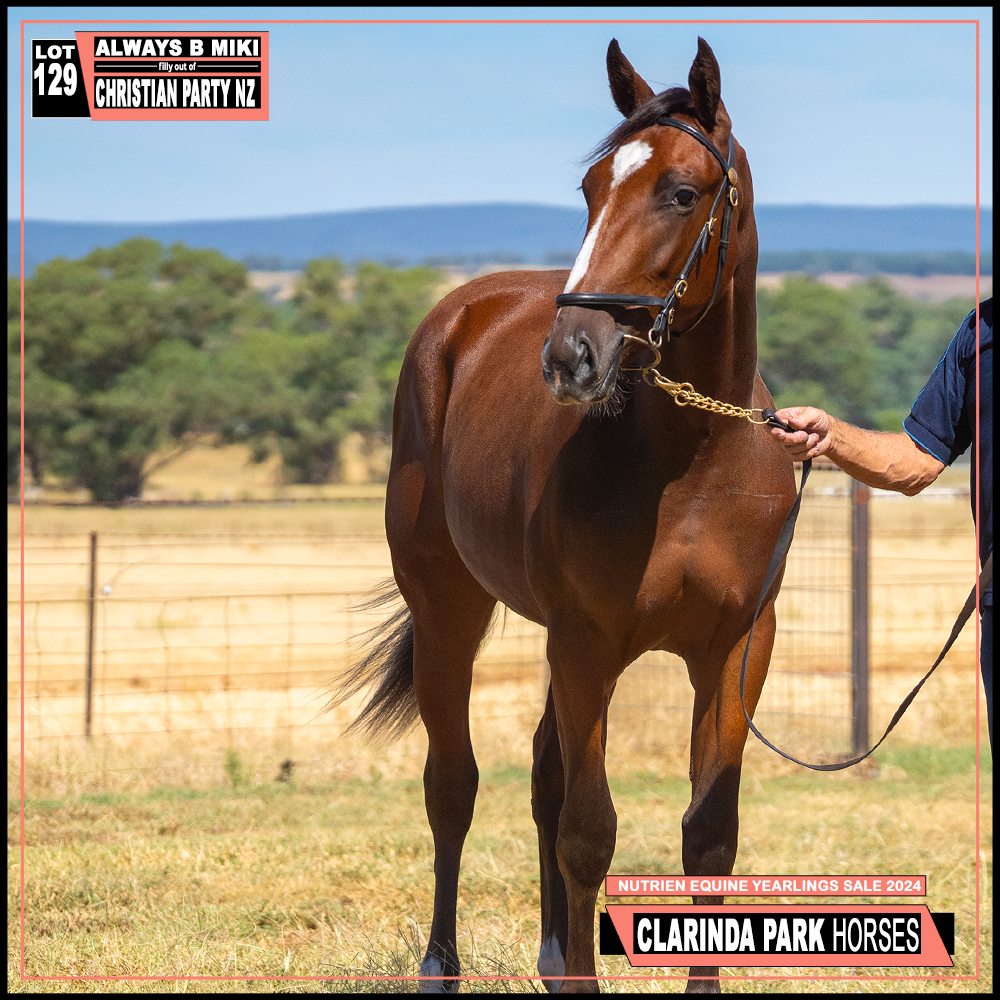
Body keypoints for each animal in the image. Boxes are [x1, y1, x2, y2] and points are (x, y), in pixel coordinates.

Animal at [336, 37, 796, 994]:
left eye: (681, 192)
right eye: (590, 187)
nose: (571, 356)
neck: (693, 463)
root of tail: (458, 316)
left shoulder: (734, 651)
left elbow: (708, 838)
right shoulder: (588, 644)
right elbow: (591, 833)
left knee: (544, 774)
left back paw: (552, 958)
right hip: (450, 611)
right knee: (454, 785)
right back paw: (443, 965)